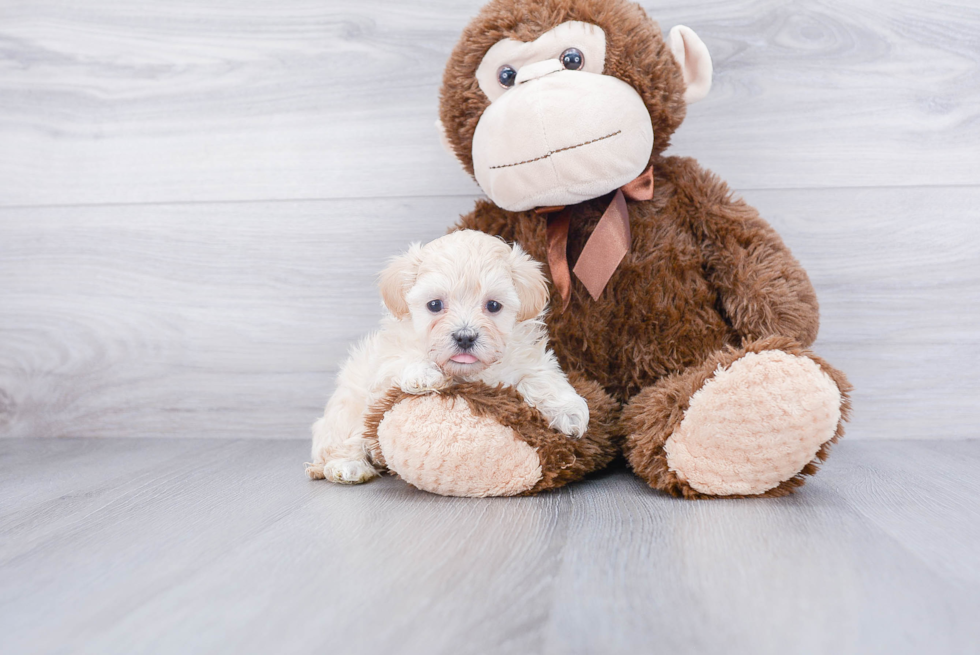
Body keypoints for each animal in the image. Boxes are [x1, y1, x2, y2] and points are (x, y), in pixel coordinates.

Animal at [308, 228, 588, 484]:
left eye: (493, 306)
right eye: (434, 305)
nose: (465, 336)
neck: (466, 373)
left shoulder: (525, 358)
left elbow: (541, 377)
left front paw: (570, 411)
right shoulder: (386, 364)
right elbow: (402, 360)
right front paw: (423, 375)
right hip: (346, 411)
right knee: (343, 441)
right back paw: (348, 467)